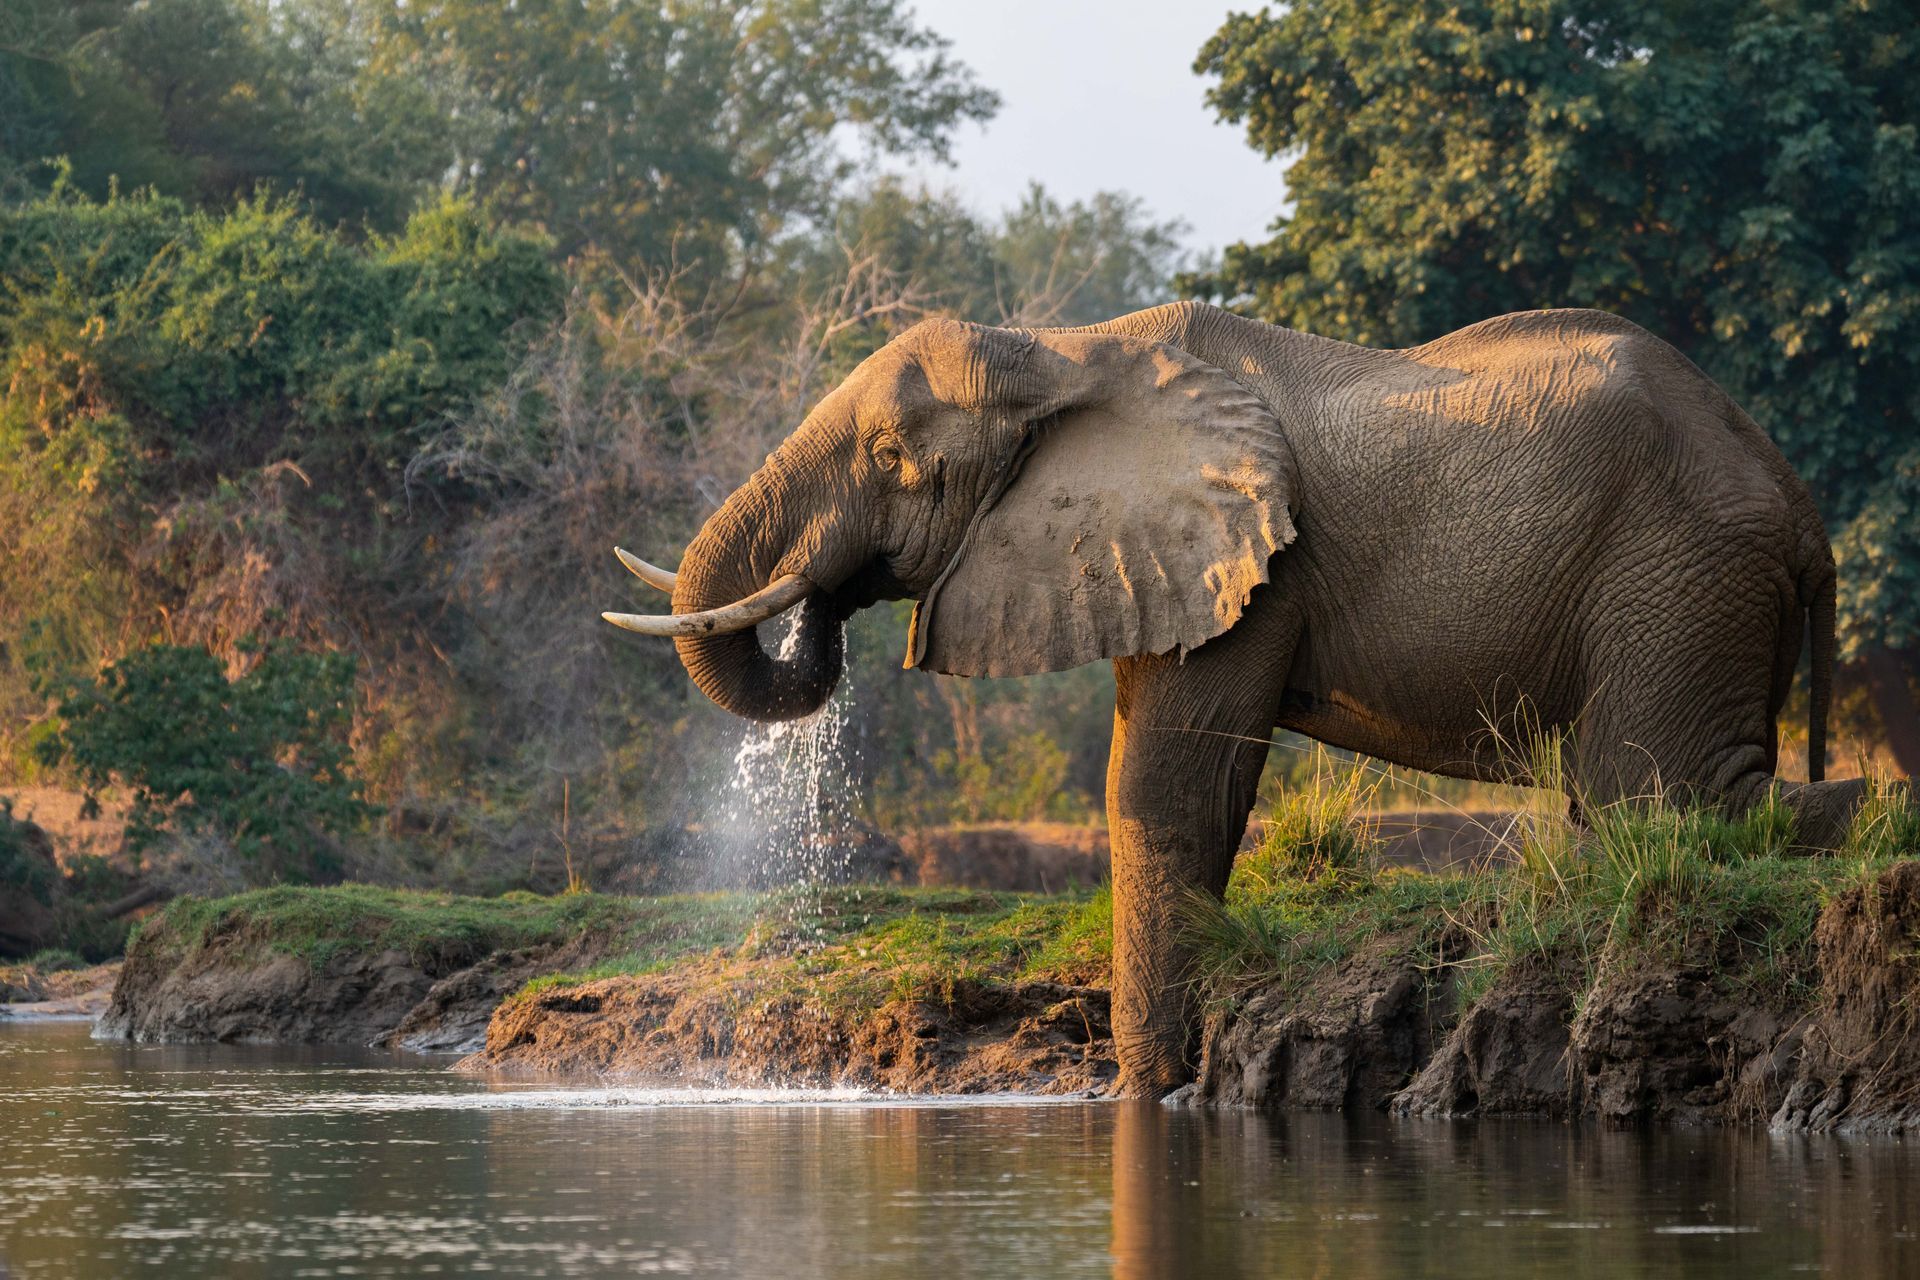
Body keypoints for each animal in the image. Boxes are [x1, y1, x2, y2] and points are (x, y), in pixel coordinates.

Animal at [603, 300, 1865, 1096]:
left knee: (1664, 796)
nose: (824, 600)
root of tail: (1803, 509)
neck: (1067, 351)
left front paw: (1152, 1094)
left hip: (1680, 568)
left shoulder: (1249, 567)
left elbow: (1171, 790)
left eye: (893, 459)